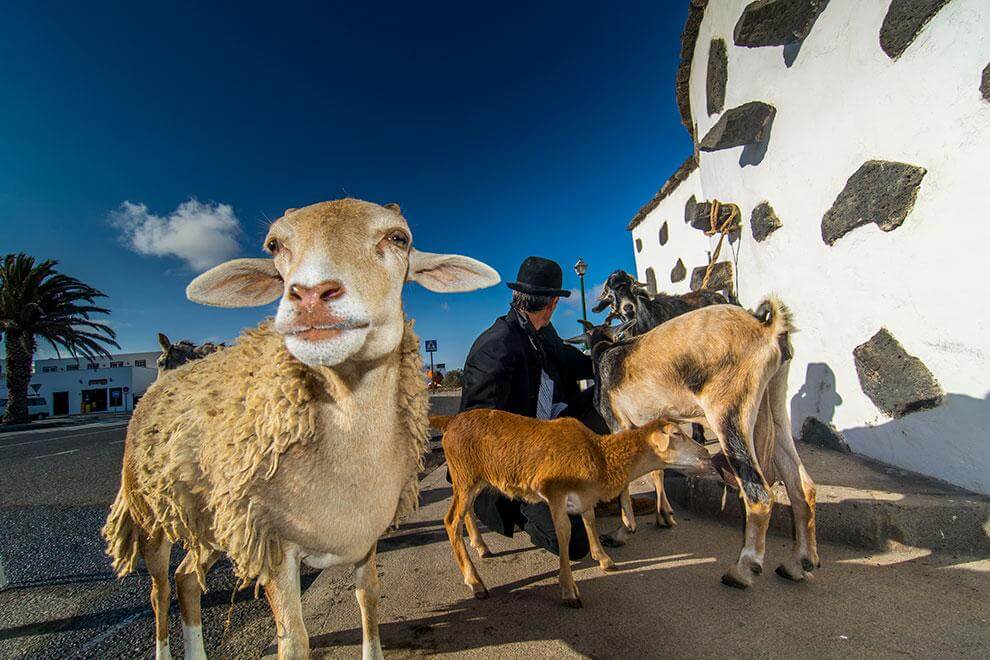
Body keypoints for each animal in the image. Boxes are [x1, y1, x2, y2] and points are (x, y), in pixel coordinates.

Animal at [104, 200, 500, 660]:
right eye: (274, 245)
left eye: (399, 238)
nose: (310, 295)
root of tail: (156, 388)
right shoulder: (273, 544)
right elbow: (294, 640)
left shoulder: (362, 534)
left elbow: (369, 602)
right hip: (152, 516)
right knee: (160, 590)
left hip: (215, 520)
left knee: (186, 579)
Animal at [434, 412, 712, 608]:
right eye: (677, 434)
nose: (707, 454)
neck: (601, 456)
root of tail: (451, 420)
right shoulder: (556, 494)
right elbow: (565, 532)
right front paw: (569, 590)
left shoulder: (584, 496)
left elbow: (589, 519)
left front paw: (603, 559)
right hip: (465, 475)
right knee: (451, 521)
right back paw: (475, 583)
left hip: (471, 478)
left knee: (466, 512)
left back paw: (480, 546)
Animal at [568, 300, 816, 588]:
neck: (608, 356)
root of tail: (766, 328)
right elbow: (656, 469)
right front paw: (664, 516)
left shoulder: (618, 424)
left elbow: (625, 480)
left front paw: (623, 531)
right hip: (774, 404)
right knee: (802, 486)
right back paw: (798, 564)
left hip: (729, 413)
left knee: (760, 495)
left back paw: (742, 570)